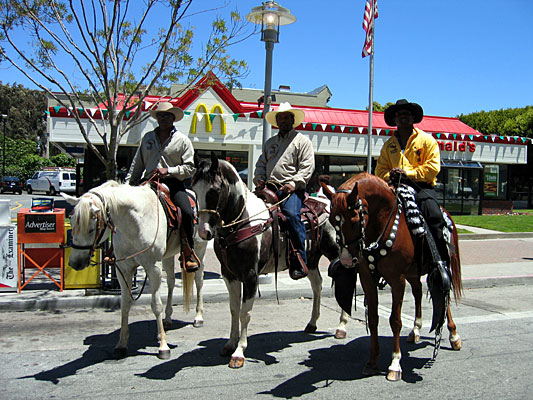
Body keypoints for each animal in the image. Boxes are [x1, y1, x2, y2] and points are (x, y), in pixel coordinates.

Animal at [62, 180, 204, 360]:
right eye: (72, 223)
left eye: (91, 228)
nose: (75, 263)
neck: (135, 222)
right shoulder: (123, 269)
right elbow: (125, 305)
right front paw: (122, 344)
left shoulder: (153, 267)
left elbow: (156, 305)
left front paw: (163, 346)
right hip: (167, 256)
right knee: (171, 282)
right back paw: (167, 319)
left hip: (199, 248)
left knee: (199, 281)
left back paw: (198, 317)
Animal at [192, 152, 339, 368]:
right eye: (194, 190)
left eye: (215, 191)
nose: (204, 232)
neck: (243, 222)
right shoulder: (229, 275)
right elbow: (234, 310)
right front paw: (229, 345)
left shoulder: (250, 276)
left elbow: (245, 313)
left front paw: (239, 352)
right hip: (311, 261)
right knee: (317, 286)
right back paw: (312, 323)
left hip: (336, 253)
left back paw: (342, 327)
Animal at [322, 173, 463, 381]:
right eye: (332, 220)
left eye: (354, 219)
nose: (346, 260)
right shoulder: (367, 279)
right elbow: (373, 318)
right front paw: (372, 362)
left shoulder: (397, 280)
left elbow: (395, 321)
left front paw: (395, 364)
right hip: (412, 273)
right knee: (418, 292)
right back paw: (416, 330)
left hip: (442, 265)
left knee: (445, 297)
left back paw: (454, 336)